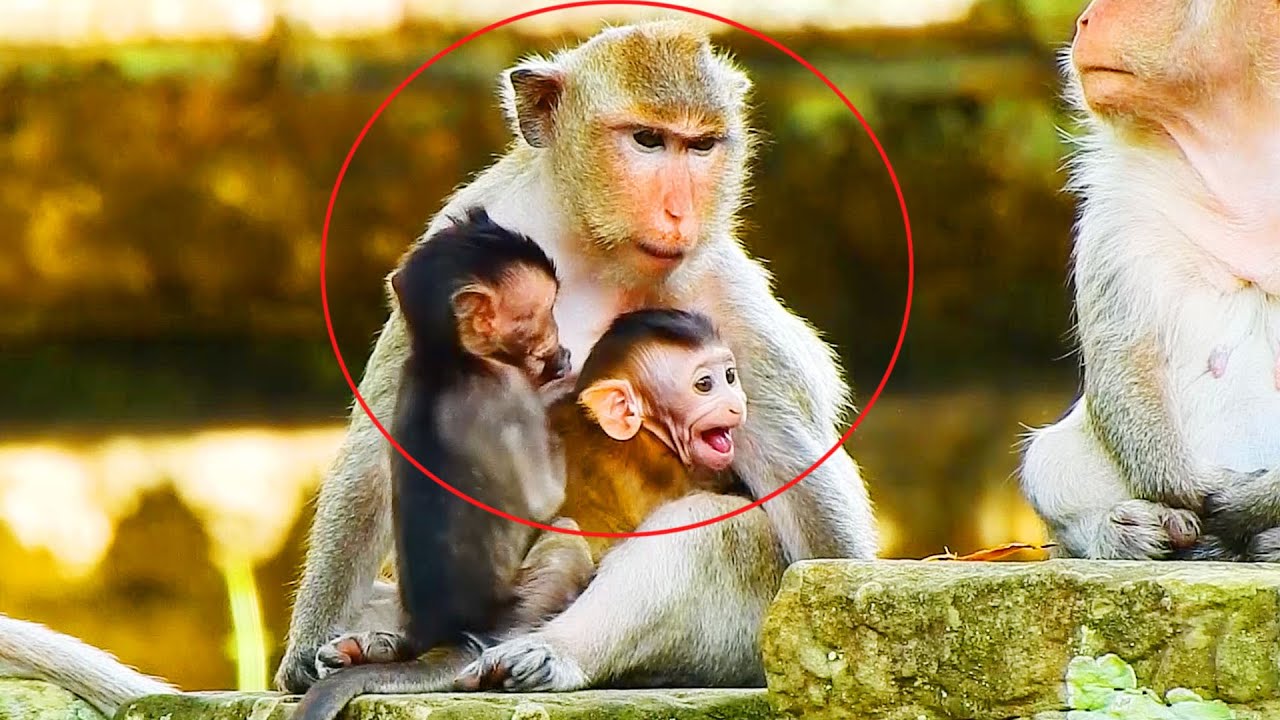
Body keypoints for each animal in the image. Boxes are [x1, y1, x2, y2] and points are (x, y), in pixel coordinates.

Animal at [276, 19, 867, 695]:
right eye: (647, 140)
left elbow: (801, 484)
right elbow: (385, 444)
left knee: (719, 533)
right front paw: (308, 646)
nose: (679, 213)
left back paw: (546, 650)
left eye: (701, 146)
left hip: (738, 638)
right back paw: (379, 642)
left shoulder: (720, 292)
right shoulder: (451, 245)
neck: (592, 249)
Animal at [1018, 0, 1280, 562]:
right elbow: (1124, 345)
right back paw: (1131, 531)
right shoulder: (1125, 198)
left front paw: (1251, 502)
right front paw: (1186, 490)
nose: (1084, 21)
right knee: (1051, 459)